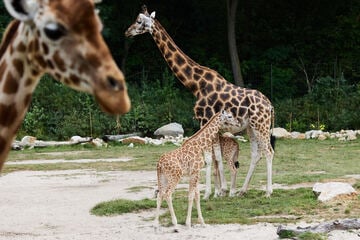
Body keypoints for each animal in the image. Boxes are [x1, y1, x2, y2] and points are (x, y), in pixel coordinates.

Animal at [126, 6, 276, 198]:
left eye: (139, 21)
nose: (127, 32)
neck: (195, 84)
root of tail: (270, 105)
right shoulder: (211, 125)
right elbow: (216, 157)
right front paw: (219, 191)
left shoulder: (204, 121)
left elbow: (212, 158)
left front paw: (213, 192)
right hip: (251, 127)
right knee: (256, 153)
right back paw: (242, 190)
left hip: (261, 125)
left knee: (269, 151)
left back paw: (268, 192)